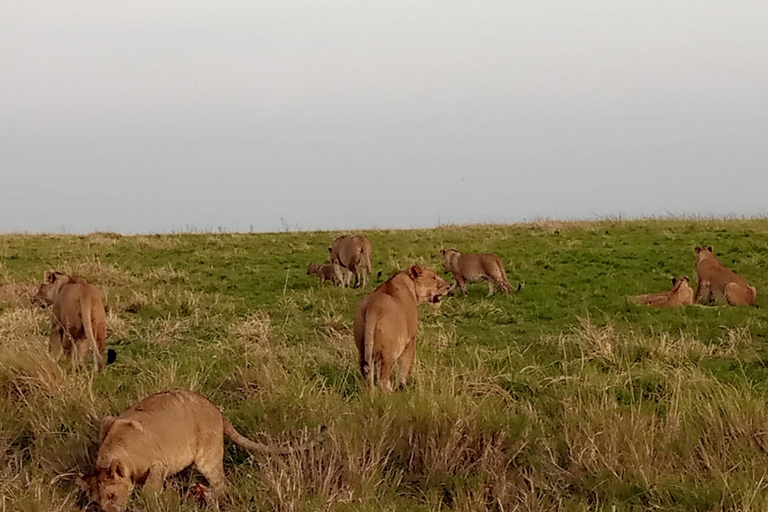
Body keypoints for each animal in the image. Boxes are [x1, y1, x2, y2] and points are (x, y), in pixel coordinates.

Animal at [78, 390, 328, 510]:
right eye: (96, 501)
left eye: (112, 496)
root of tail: (218, 411)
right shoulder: (107, 422)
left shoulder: (159, 462)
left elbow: (150, 490)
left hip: (207, 457)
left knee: (223, 485)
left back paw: (208, 496)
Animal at [354, 264, 450, 392]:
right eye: (434, 277)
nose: (448, 287)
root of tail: (373, 306)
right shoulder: (411, 338)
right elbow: (406, 364)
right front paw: (402, 386)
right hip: (388, 352)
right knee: (383, 379)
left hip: (362, 347)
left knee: (367, 372)